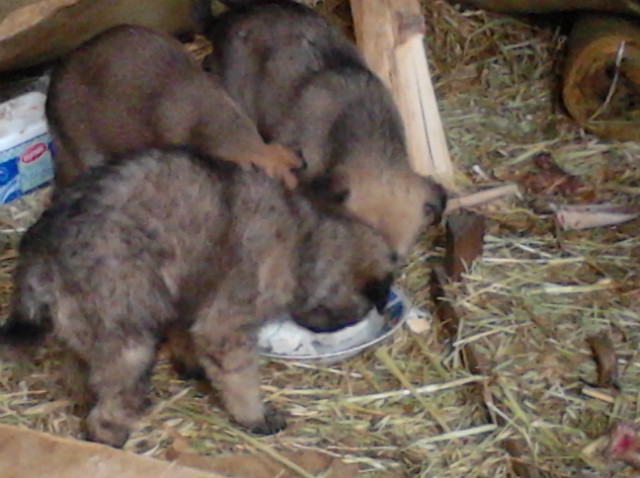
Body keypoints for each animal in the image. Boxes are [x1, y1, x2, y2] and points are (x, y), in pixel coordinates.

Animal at [0, 146, 398, 448]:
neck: (306, 244)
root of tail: (42, 246)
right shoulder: (225, 328)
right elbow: (240, 379)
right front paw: (254, 417)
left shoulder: (189, 295)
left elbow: (185, 335)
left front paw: (190, 366)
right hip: (127, 336)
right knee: (110, 400)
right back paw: (111, 435)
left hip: (85, 322)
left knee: (80, 371)